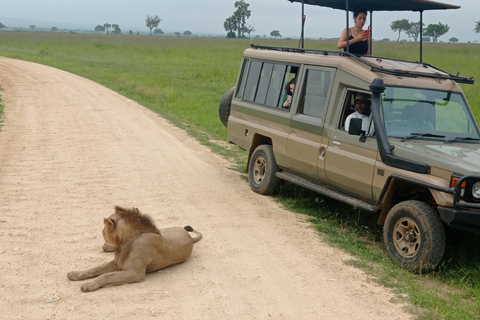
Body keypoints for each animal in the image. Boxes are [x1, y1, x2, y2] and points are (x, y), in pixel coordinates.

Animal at [67, 205, 201, 292]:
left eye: (104, 229)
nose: (102, 231)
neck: (124, 242)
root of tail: (189, 237)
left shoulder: (135, 273)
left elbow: (106, 275)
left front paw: (88, 285)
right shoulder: (118, 262)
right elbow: (96, 268)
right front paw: (75, 274)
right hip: (165, 230)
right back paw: (107, 247)